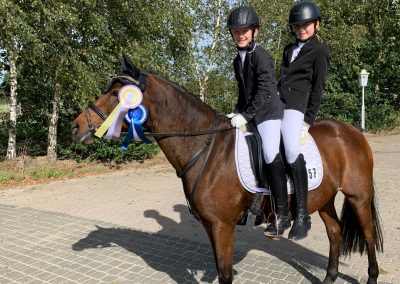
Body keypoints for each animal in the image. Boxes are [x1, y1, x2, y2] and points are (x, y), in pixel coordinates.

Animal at [71, 55, 382, 284]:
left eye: (116, 94)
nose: (76, 127)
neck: (205, 148)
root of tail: (351, 131)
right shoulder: (211, 226)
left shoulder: (223, 226)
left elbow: (225, 274)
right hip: (324, 198)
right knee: (335, 232)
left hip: (358, 196)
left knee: (368, 236)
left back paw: (371, 277)